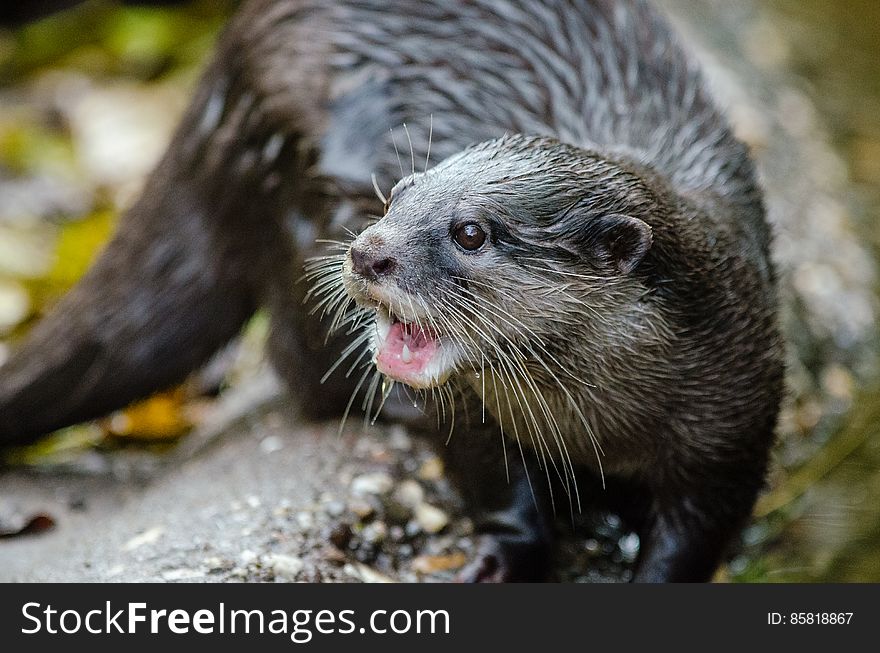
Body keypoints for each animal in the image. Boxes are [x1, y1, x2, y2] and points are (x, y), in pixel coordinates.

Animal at [0, 0, 784, 580]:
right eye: (399, 192)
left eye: (471, 231)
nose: (368, 251)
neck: (600, 425)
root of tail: (226, 68)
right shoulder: (471, 414)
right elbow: (495, 484)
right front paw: (502, 558)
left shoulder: (736, 426)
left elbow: (698, 531)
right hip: (298, 178)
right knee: (297, 360)